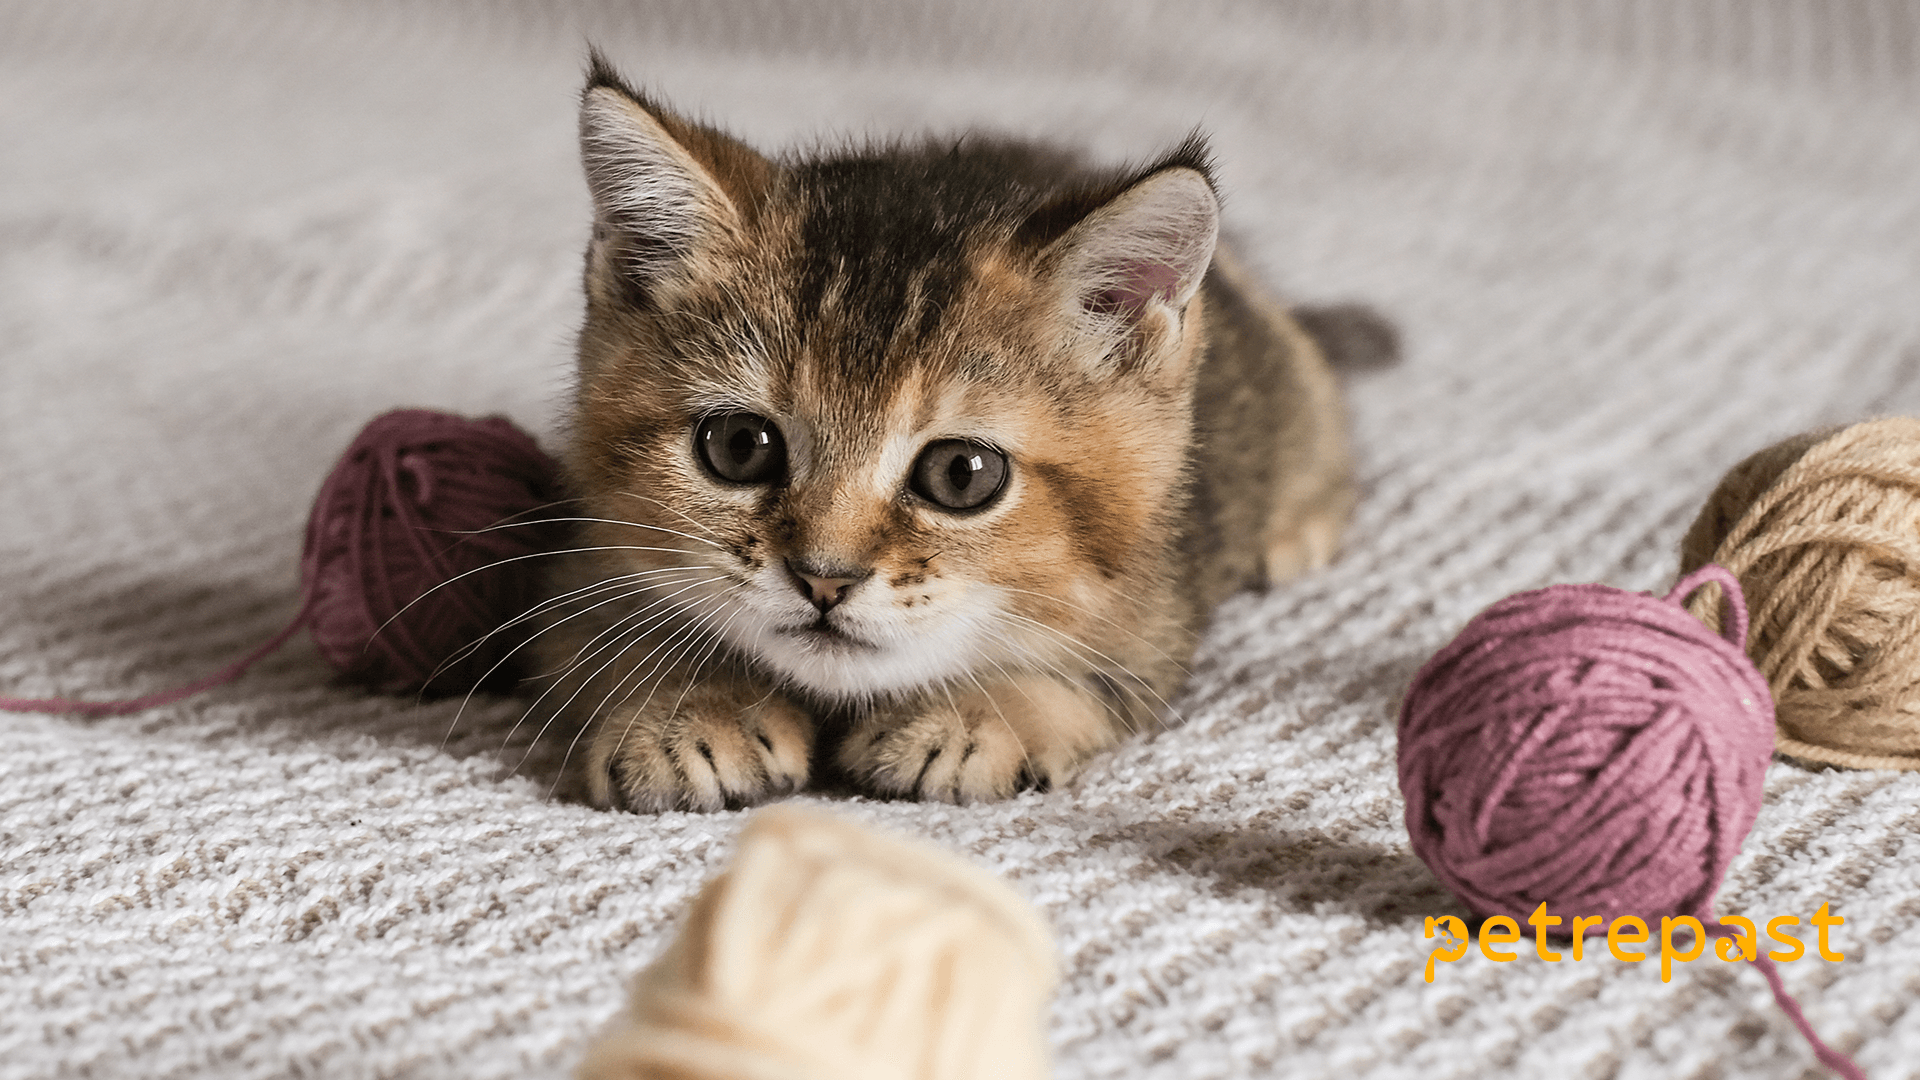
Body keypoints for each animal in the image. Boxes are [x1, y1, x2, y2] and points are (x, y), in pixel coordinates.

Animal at [529, 52, 1351, 807]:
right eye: (738, 448)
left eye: (961, 474)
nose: (824, 578)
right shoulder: (580, 561)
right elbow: (603, 636)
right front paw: (689, 704)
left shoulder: (1159, 620)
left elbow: (1085, 677)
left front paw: (978, 713)